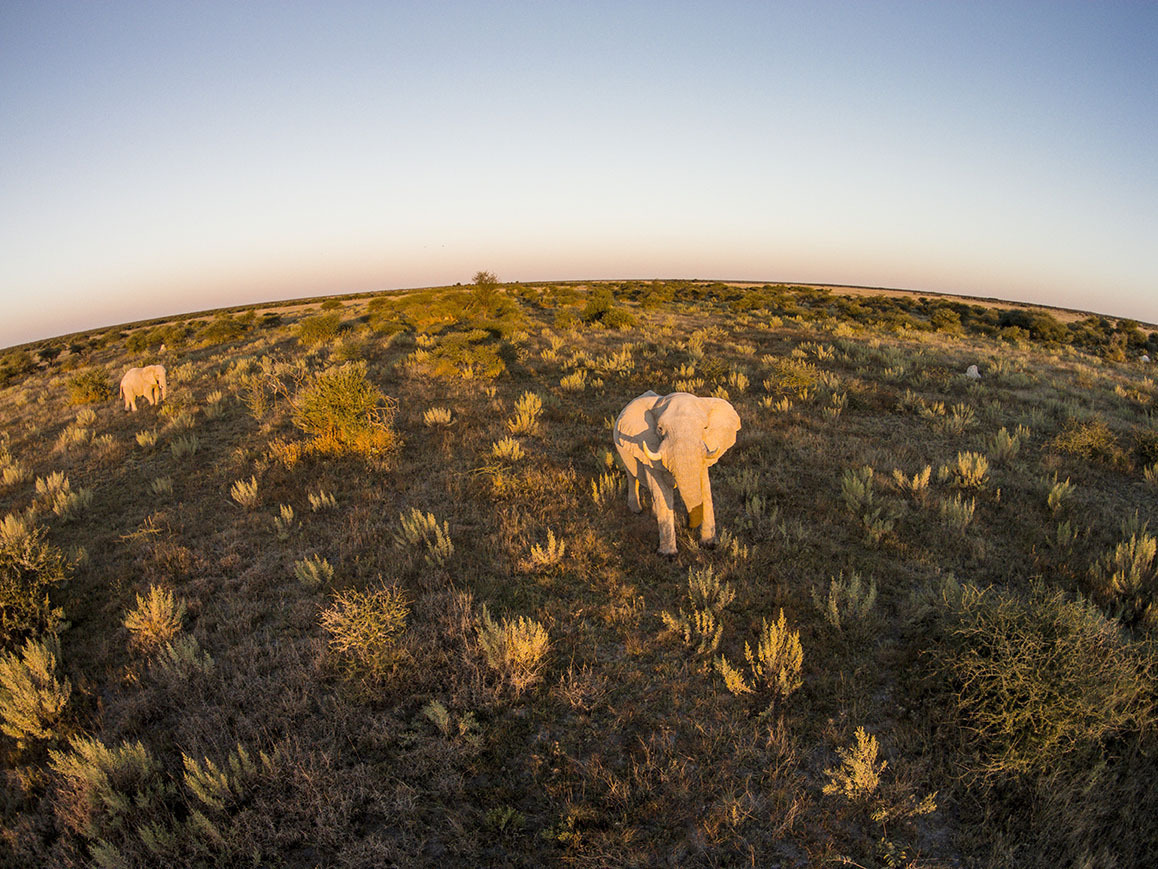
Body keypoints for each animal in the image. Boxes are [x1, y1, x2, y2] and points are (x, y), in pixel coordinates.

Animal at [616, 391, 741, 553]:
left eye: (706, 428)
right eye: (660, 428)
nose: (687, 524)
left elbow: (705, 486)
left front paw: (709, 544)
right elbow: (660, 488)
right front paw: (668, 554)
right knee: (632, 477)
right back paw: (636, 510)